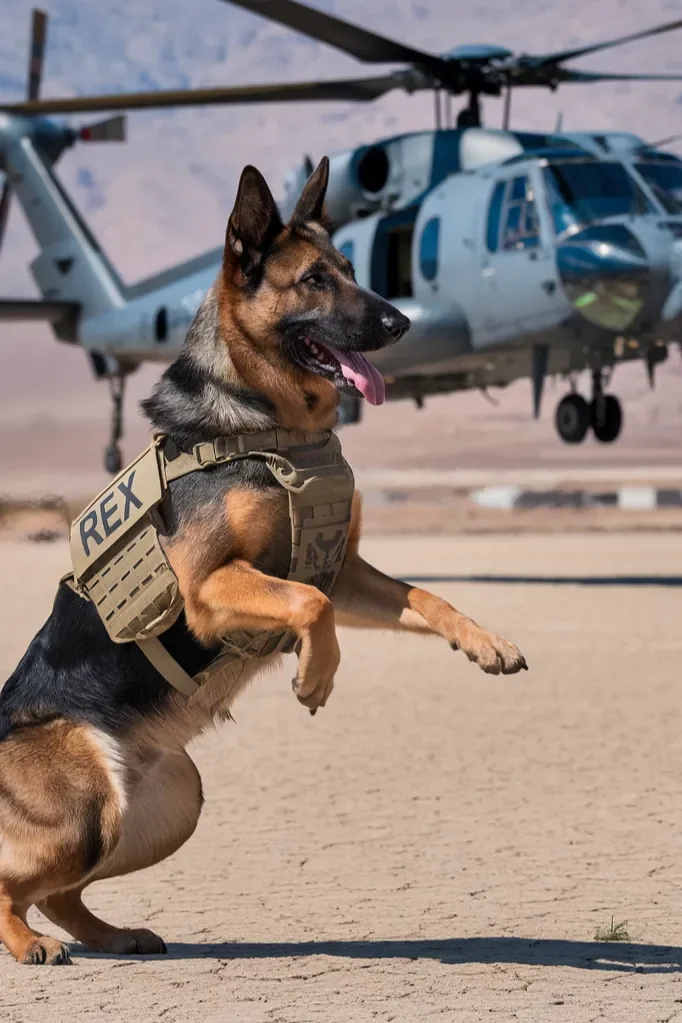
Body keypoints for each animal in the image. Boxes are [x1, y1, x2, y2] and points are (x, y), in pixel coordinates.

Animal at [0, 155, 527, 961]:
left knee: (60, 891)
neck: (268, 425)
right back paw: (28, 941)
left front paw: (487, 643)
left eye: (354, 270)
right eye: (313, 279)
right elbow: (310, 604)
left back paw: (114, 934)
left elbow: (422, 595)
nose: (401, 322)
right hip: (86, 808)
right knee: (13, 885)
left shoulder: (347, 568)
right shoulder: (208, 588)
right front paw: (314, 675)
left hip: (172, 804)